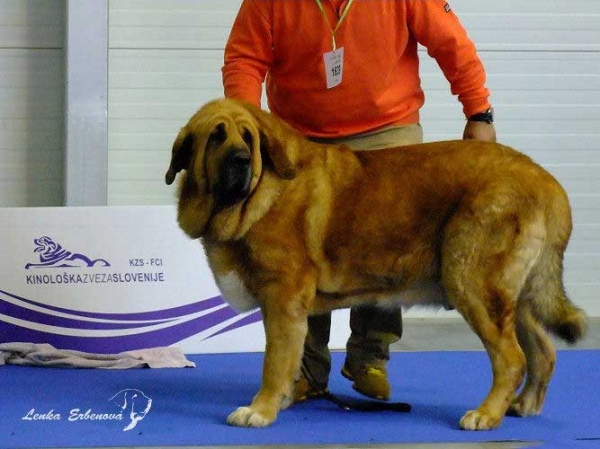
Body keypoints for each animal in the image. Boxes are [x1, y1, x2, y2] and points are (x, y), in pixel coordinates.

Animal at [164, 97, 584, 428]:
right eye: (216, 136)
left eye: (247, 138)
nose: (240, 160)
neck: (258, 194)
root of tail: (548, 183)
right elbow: (290, 360)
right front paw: (279, 401)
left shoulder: (282, 300)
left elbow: (274, 361)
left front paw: (260, 410)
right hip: (514, 297)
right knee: (542, 353)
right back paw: (523, 406)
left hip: (474, 286)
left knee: (512, 359)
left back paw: (485, 415)